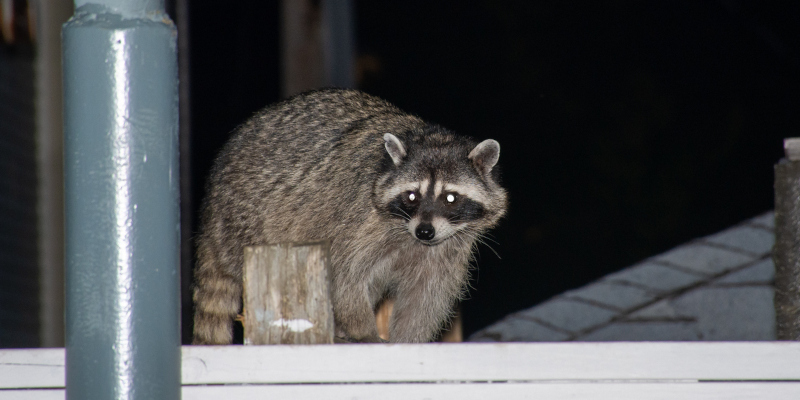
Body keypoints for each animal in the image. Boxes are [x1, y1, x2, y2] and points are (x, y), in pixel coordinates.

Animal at [193, 88, 507, 344]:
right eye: (412, 196)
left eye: (450, 198)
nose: (425, 231)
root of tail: (211, 209)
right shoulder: (356, 217)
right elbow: (345, 276)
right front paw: (363, 330)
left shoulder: (447, 248)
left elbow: (426, 296)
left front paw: (407, 339)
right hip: (247, 216)